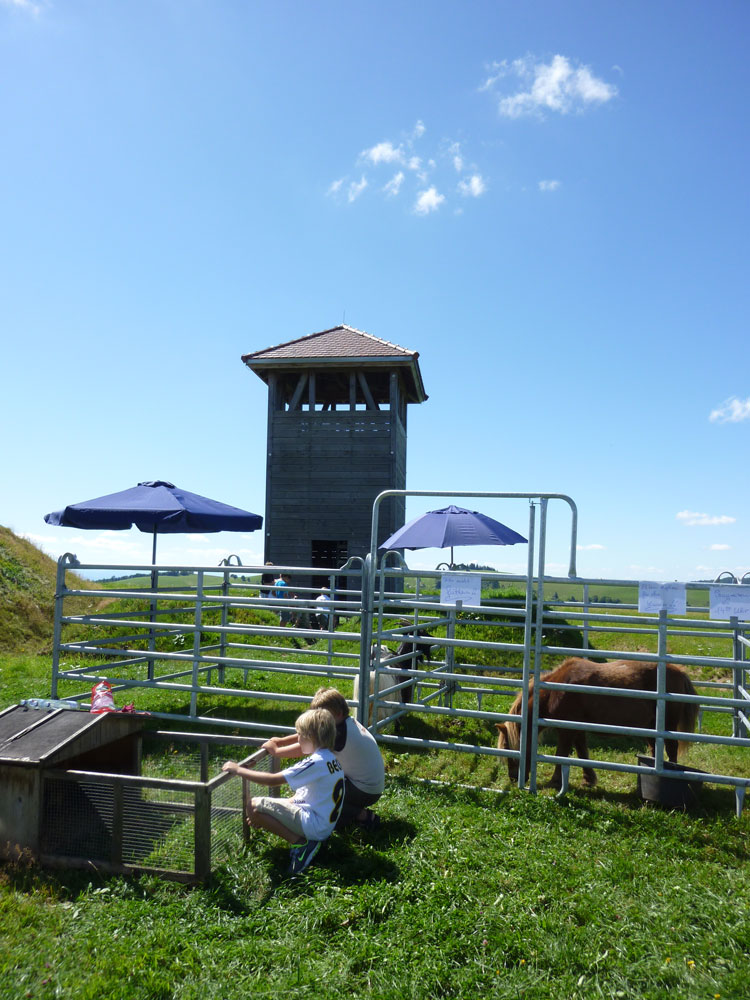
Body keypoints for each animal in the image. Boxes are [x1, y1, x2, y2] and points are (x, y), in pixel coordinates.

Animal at [496, 656, 704, 788]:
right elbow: (582, 753)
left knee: (671, 748)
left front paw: (555, 781)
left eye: (509, 750)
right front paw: (588, 779)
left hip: (667, 725)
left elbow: (561, 753)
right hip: (651, 727)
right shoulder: (577, 729)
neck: (554, 691)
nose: (513, 778)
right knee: (655, 749)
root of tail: (679, 672)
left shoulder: (566, 731)